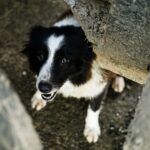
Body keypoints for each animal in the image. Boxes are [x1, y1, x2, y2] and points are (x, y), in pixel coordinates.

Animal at [23, 13, 124, 143]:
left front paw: (92, 129)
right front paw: (38, 97)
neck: (74, 78)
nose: (43, 88)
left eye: (65, 60)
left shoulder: (100, 84)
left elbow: (94, 107)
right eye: (40, 56)